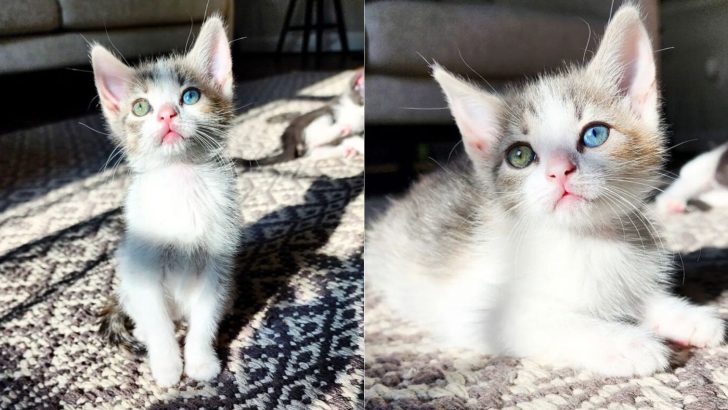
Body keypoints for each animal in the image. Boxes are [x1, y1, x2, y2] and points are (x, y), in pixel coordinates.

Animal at [94, 15, 239, 388]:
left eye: (190, 96)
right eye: (141, 107)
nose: (166, 115)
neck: (181, 179)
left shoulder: (218, 263)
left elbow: (205, 316)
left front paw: (200, 360)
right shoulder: (143, 266)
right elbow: (158, 321)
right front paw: (167, 365)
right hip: (126, 273)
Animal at [366, 5, 724, 378]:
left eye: (595, 134)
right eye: (520, 155)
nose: (559, 170)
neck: (583, 240)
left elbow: (635, 295)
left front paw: (684, 315)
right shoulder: (474, 310)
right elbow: (552, 321)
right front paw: (626, 343)